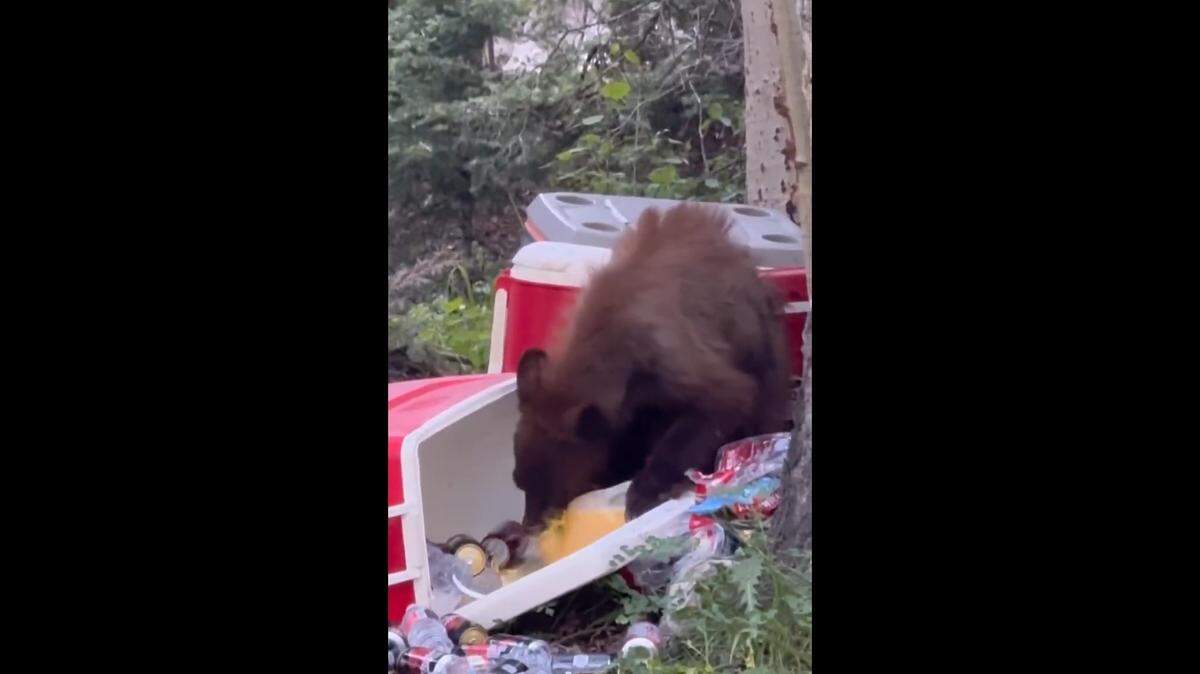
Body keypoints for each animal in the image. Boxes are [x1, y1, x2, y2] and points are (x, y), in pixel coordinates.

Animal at [511, 203, 792, 527]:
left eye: (556, 489)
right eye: (519, 481)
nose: (530, 527)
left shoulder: (672, 356)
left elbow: (723, 401)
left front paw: (643, 491)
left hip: (762, 348)